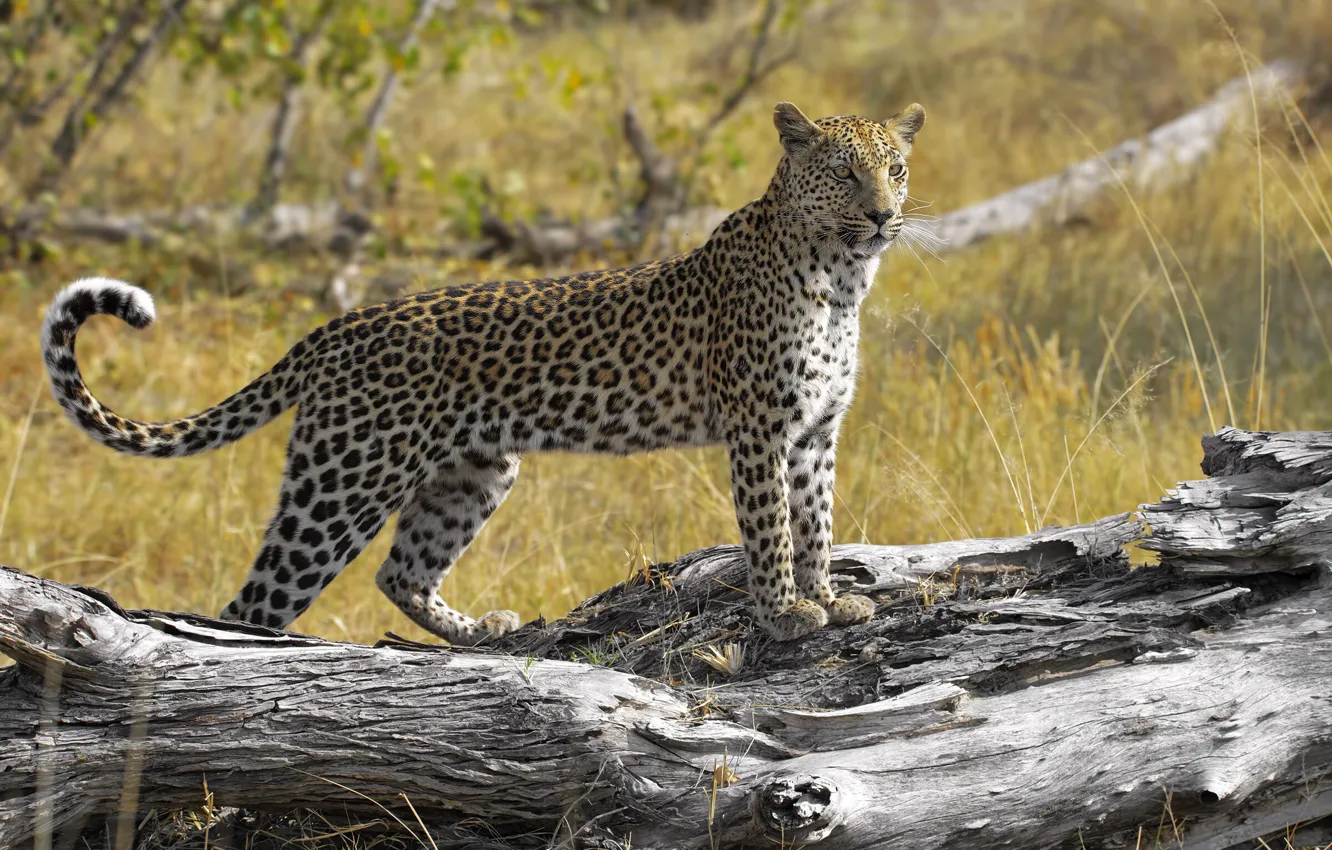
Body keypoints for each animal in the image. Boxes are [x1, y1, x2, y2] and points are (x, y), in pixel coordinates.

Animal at [41, 100, 925, 646]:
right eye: (844, 172)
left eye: (896, 169)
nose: (885, 215)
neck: (842, 279)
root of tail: (339, 326)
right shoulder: (758, 432)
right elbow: (771, 530)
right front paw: (785, 614)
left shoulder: (814, 436)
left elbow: (816, 524)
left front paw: (827, 598)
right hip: (343, 482)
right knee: (255, 603)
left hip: (474, 471)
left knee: (400, 572)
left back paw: (479, 633)